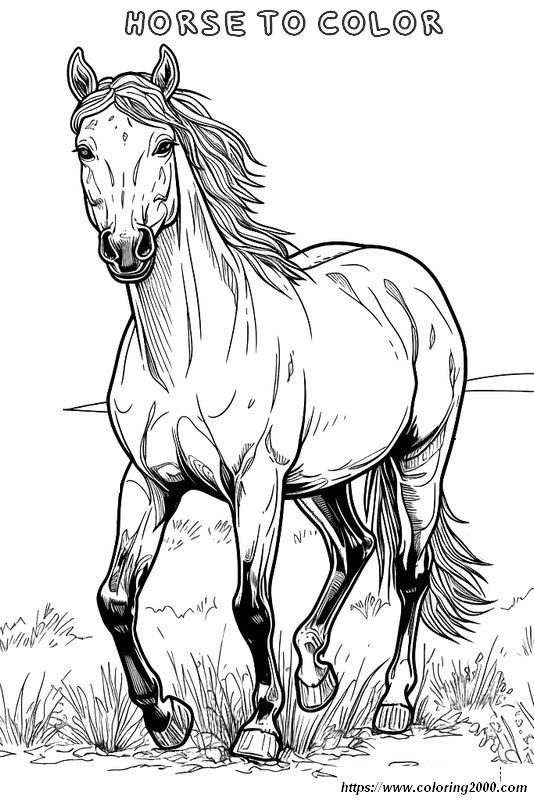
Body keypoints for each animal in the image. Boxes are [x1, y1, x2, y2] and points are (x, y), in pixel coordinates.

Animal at [67, 45, 487, 762]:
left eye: (163, 143)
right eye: (84, 149)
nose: (127, 250)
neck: (187, 352)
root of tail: (411, 279)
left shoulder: (256, 483)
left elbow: (252, 607)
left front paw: (261, 726)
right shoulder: (150, 481)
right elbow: (116, 598)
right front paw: (165, 716)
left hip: (417, 457)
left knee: (410, 568)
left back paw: (393, 701)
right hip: (321, 476)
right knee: (354, 546)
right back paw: (315, 674)